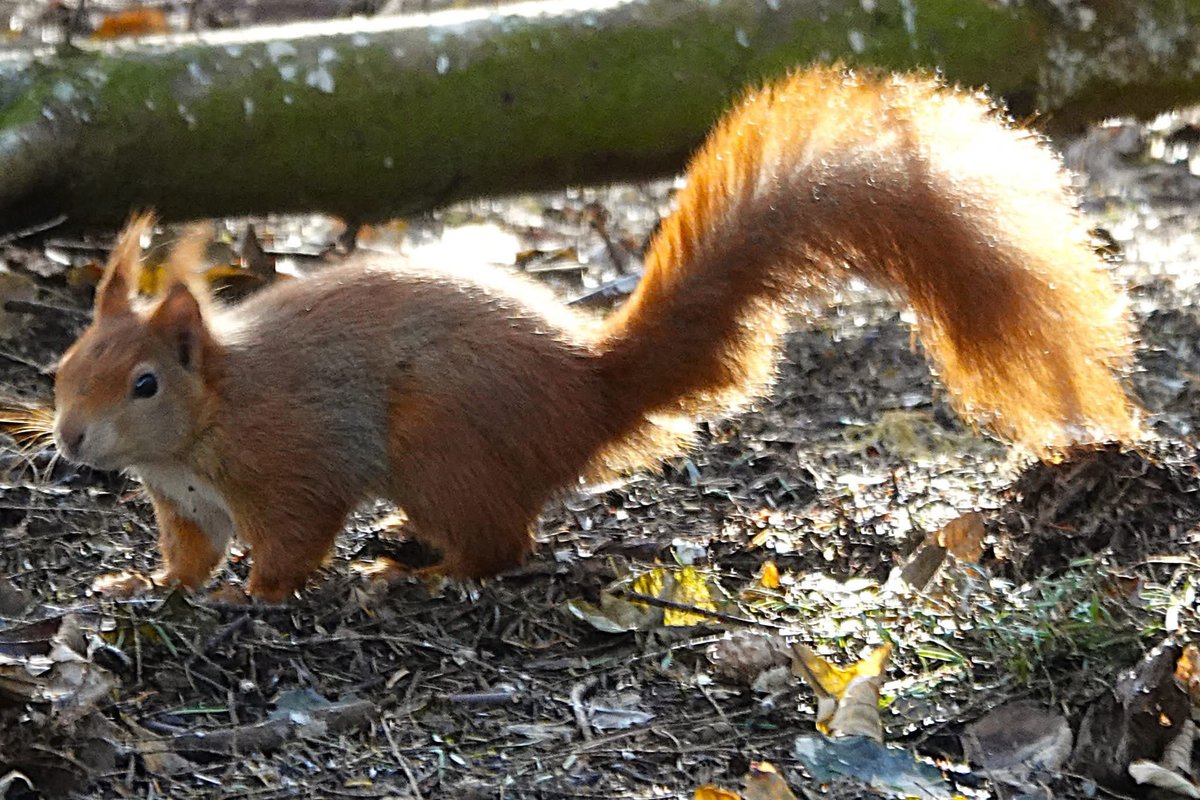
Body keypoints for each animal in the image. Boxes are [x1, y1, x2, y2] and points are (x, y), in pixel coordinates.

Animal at [51, 66, 1137, 602]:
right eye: (64, 367)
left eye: (145, 383)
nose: (68, 437)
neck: (208, 419)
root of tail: (590, 384)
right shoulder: (187, 505)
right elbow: (186, 554)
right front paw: (140, 580)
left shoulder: (294, 459)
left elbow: (292, 539)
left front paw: (255, 595)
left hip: (440, 447)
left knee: (503, 545)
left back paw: (419, 574)